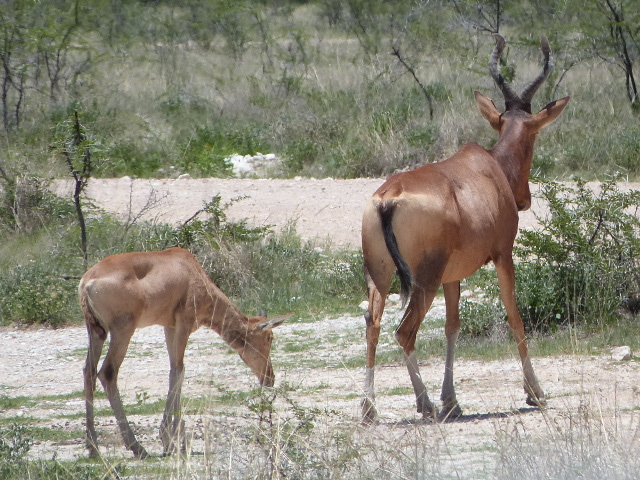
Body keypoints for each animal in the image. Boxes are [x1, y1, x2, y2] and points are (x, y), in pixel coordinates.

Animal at [81, 248, 286, 458]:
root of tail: (88, 281)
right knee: (107, 373)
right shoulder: (183, 324)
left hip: (96, 332)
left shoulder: (169, 327)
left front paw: (173, 442)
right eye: (269, 338)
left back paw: (93, 447)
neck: (190, 270)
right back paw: (137, 447)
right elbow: (179, 371)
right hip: (123, 330)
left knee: (89, 371)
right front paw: (172, 441)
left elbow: (175, 370)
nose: (269, 378)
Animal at [362, 35, 568, 422]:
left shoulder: (453, 275)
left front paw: (453, 401)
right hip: (423, 280)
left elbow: (452, 326)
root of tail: (388, 197)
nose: (524, 200)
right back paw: (425, 406)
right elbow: (514, 316)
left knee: (373, 323)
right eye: (535, 136)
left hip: (379, 274)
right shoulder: (503, 255)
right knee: (404, 332)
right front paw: (535, 393)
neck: (488, 167)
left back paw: (369, 410)